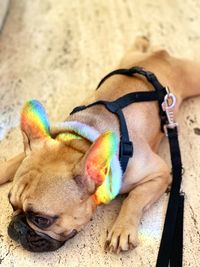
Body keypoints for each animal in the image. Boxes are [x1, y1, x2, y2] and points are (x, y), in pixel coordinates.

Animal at [0, 37, 199, 253]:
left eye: (41, 220)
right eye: (11, 203)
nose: (16, 227)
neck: (79, 143)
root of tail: (158, 57)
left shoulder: (159, 173)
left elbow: (135, 197)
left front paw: (122, 229)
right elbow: (14, 160)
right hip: (128, 57)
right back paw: (141, 41)